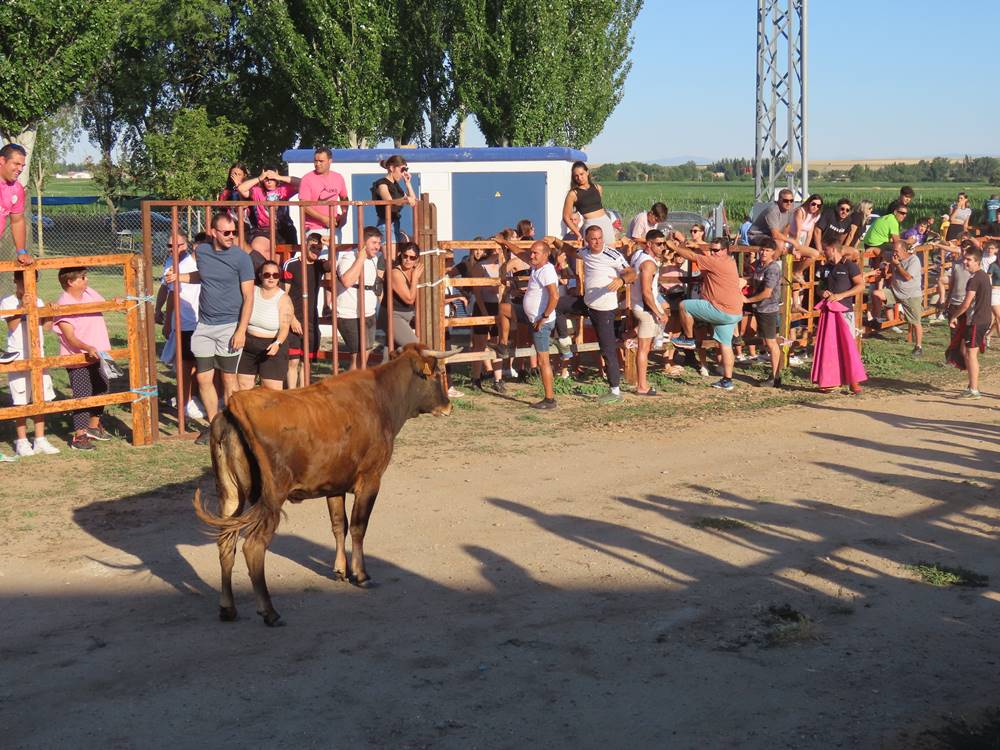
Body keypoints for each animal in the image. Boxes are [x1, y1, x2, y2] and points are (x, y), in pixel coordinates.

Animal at [192, 346, 458, 628]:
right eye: (436, 375)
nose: (448, 406)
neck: (381, 398)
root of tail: (234, 406)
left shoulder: (334, 485)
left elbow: (339, 526)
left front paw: (341, 570)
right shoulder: (370, 479)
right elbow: (358, 527)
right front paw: (361, 574)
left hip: (230, 494)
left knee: (225, 542)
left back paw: (227, 608)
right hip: (271, 498)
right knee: (253, 547)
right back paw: (270, 612)